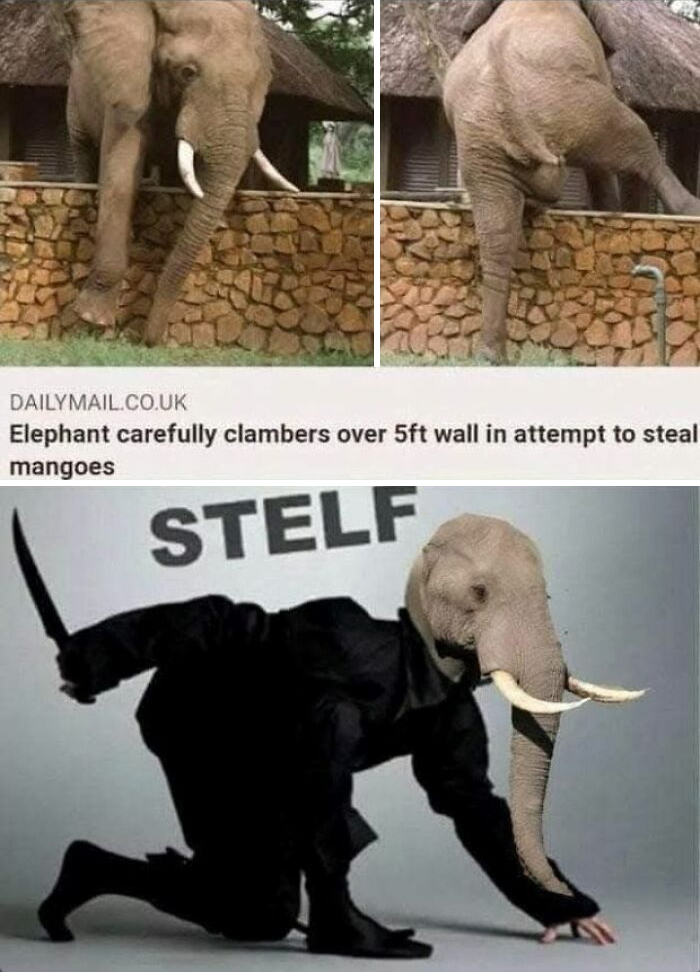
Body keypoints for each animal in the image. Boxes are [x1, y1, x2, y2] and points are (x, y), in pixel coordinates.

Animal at [54, 1, 298, 346]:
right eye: (187, 73)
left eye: (258, 83)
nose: (148, 341)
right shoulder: (128, 84)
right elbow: (120, 175)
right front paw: (93, 319)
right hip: (75, 94)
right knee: (83, 150)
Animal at [442, 0, 700, 363]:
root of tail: (506, 92)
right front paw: (610, 212)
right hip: (581, 108)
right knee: (635, 137)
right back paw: (690, 207)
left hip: (483, 148)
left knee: (497, 233)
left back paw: (492, 356)